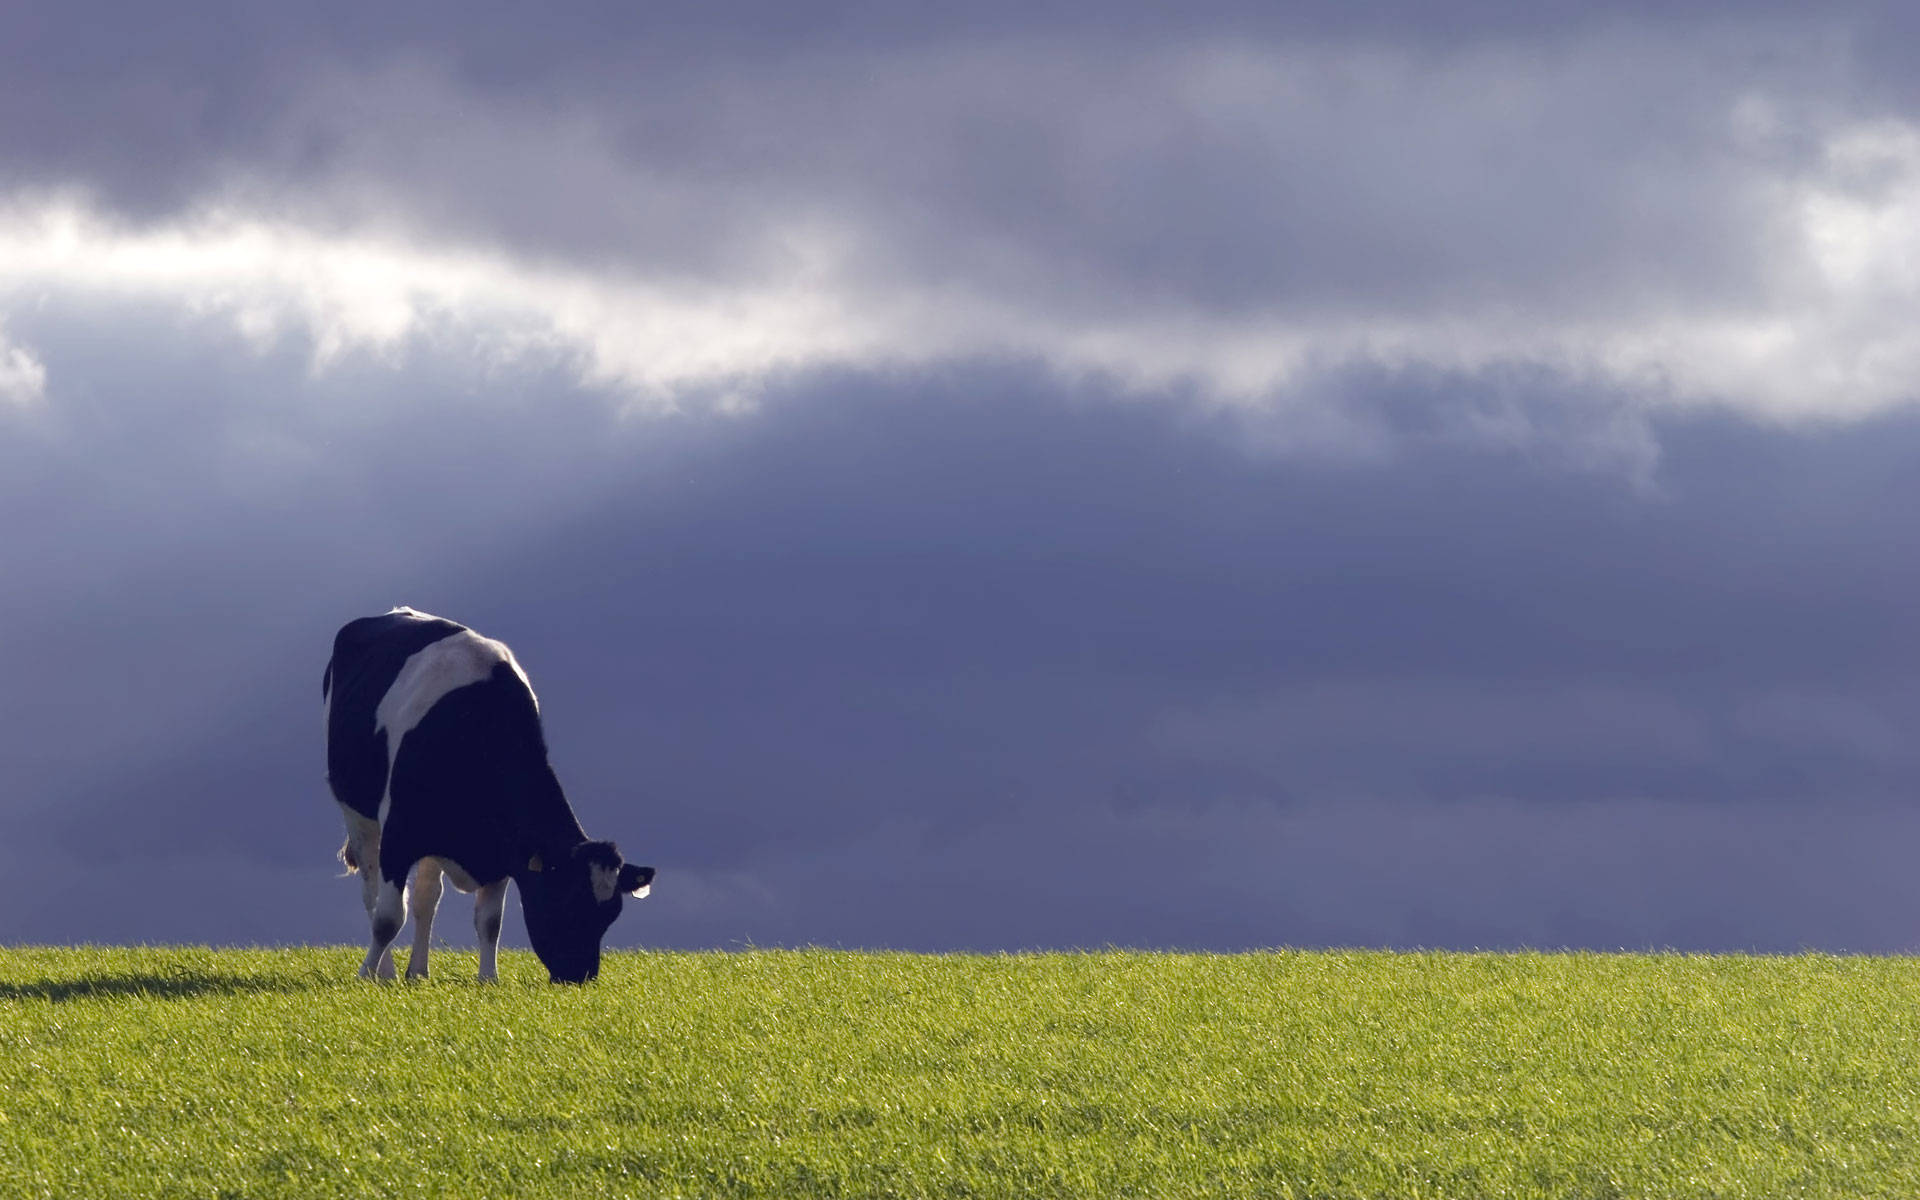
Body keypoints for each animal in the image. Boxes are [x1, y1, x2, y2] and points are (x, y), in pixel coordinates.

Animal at [326, 606, 656, 983]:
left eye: (610, 913)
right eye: (568, 901)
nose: (581, 974)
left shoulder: (502, 851)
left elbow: (489, 922)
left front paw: (488, 979)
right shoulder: (400, 832)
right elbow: (387, 918)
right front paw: (366, 974)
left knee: (427, 899)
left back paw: (419, 971)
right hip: (357, 814)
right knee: (372, 894)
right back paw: (386, 972)